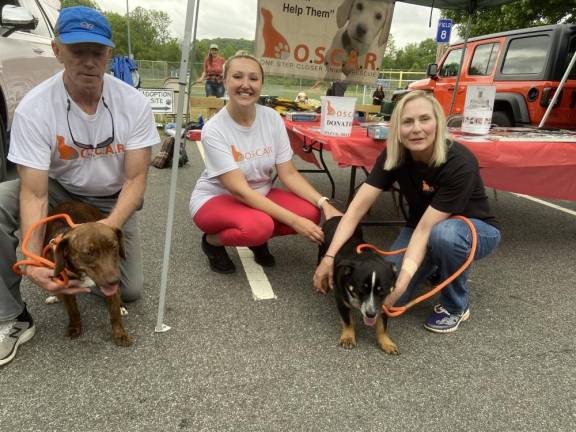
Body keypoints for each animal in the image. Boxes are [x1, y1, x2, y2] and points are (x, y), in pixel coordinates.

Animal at [44, 201, 132, 346]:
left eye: (114, 247)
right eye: (88, 253)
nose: (114, 280)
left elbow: (114, 313)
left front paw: (120, 334)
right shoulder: (65, 286)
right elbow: (73, 310)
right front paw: (74, 327)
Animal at [322, 216, 398, 354]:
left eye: (382, 292)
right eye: (360, 290)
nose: (370, 314)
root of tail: (336, 217)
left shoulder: (383, 304)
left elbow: (383, 326)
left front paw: (386, 342)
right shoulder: (341, 301)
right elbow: (347, 321)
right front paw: (348, 337)